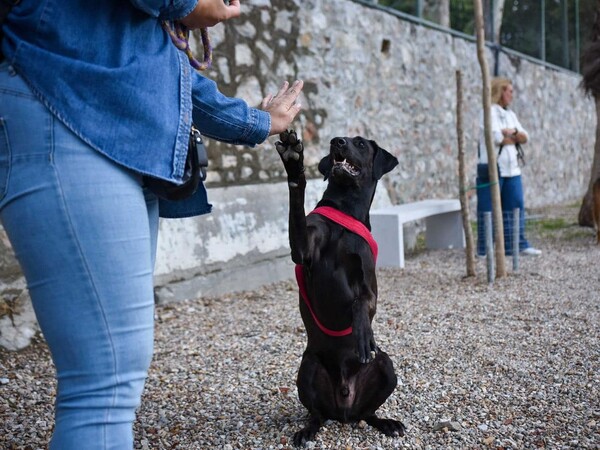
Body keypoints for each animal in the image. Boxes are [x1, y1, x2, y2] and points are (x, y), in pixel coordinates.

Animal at [276, 131, 408, 446]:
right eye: (340, 139)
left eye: (360, 143)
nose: (337, 141)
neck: (345, 208)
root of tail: (345, 409)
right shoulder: (302, 249)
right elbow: (296, 207)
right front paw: (294, 165)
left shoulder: (370, 285)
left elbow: (361, 302)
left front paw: (362, 333)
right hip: (308, 367)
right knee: (316, 414)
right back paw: (308, 430)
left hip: (386, 366)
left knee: (368, 413)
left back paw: (386, 423)